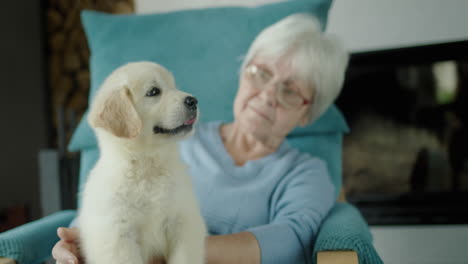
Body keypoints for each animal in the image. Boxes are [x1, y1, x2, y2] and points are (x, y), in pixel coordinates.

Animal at [79, 61, 207, 264]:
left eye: (174, 86)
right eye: (154, 92)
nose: (193, 101)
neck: (148, 166)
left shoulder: (183, 222)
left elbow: (184, 256)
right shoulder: (119, 235)